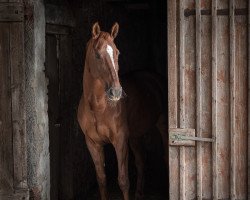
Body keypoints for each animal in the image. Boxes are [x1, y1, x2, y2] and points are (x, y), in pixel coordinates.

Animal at [76, 22, 166, 199]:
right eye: (97, 54)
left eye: (117, 52)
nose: (116, 92)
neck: (99, 108)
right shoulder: (93, 143)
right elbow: (101, 179)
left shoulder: (120, 140)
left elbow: (123, 181)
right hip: (135, 136)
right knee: (141, 161)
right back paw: (139, 193)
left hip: (162, 126)